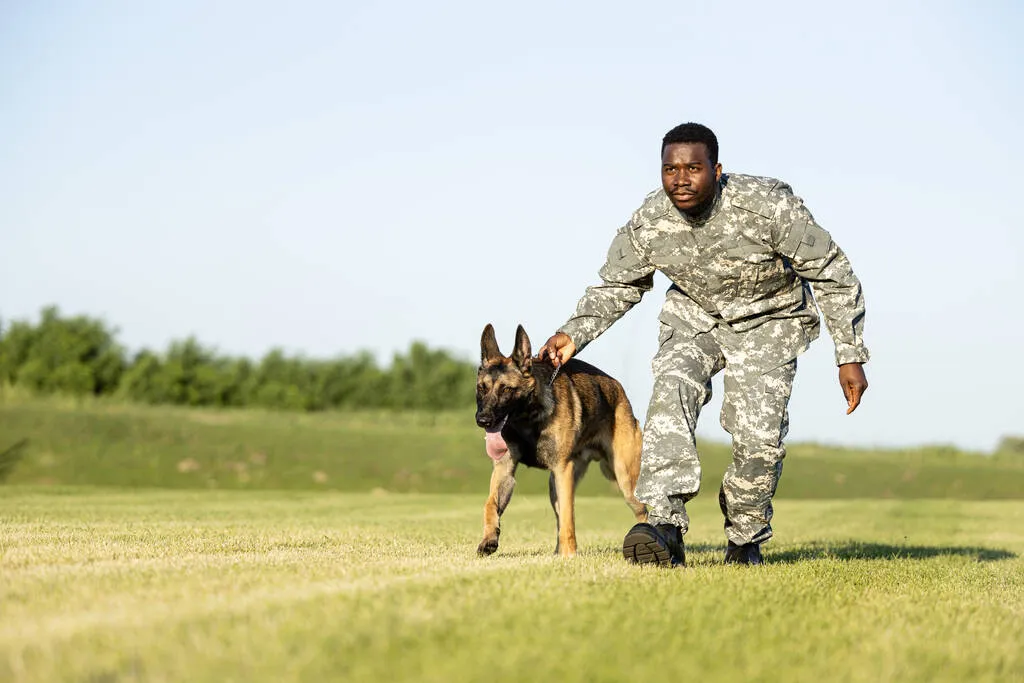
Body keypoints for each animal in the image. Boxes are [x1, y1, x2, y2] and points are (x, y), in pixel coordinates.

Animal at [473, 323, 647, 557]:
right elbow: (490, 504)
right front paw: (489, 539)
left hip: (625, 480)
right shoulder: (505, 469)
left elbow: (567, 518)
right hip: (555, 485)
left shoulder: (563, 470)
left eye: (506, 389)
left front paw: (569, 555)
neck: (527, 421)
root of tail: (621, 392)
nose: (483, 420)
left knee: (643, 509)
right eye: (481, 388)